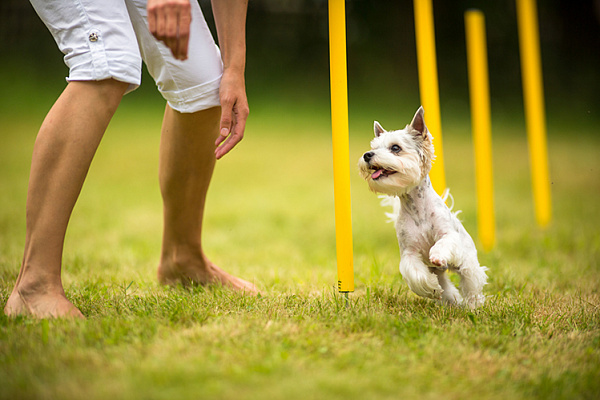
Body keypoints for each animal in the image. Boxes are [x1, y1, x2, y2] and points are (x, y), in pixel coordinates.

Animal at [356, 107, 488, 310]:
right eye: (374, 147)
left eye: (395, 148)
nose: (367, 155)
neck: (417, 209)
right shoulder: (409, 253)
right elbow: (416, 275)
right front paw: (431, 287)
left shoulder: (448, 236)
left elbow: (442, 243)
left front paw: (437, 255)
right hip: (442, 274)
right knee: (446, 286)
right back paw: (452, 300)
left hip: (467, 263)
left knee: (471, 282)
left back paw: (473, 305)